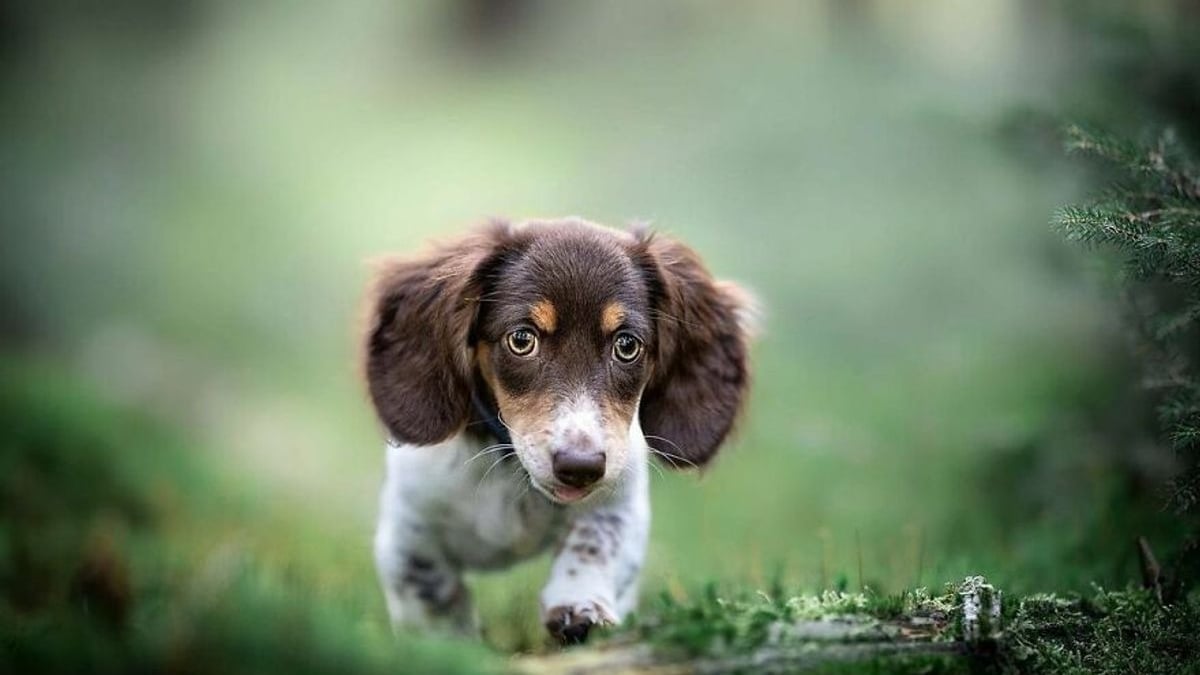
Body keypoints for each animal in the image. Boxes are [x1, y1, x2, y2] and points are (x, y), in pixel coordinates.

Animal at [360, 214, 753, 638]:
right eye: (521, 339)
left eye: (627, 345)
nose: (580, 467)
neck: (512, 471)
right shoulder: (408, 527)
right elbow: (430, 594)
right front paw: (445, 643)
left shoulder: (621, 496)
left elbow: (595, 540)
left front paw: (580, 604)